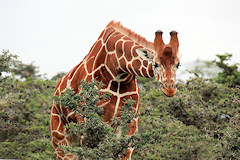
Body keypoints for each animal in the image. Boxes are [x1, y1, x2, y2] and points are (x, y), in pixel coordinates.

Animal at [50, 20, 180, 159]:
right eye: (155, 64)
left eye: (178, 64)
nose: (170, 89)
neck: (117, 73)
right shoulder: (91, 120)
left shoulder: (130, 120)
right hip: (60, 138)